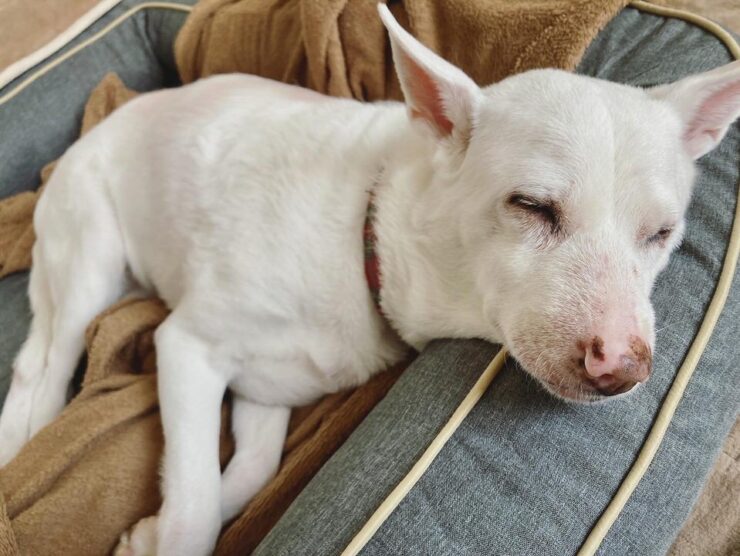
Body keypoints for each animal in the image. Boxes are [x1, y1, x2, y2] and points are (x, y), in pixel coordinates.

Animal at [1, 5, 740, 556]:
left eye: (662, 234)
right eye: (531, 206)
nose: (624, 369)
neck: (369, 236)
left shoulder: (267, 393)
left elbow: (244, 474)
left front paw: (154, 530)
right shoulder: (185, 347)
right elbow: (194, 507)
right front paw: (167, 530)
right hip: (90, 258)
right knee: (42, 365)